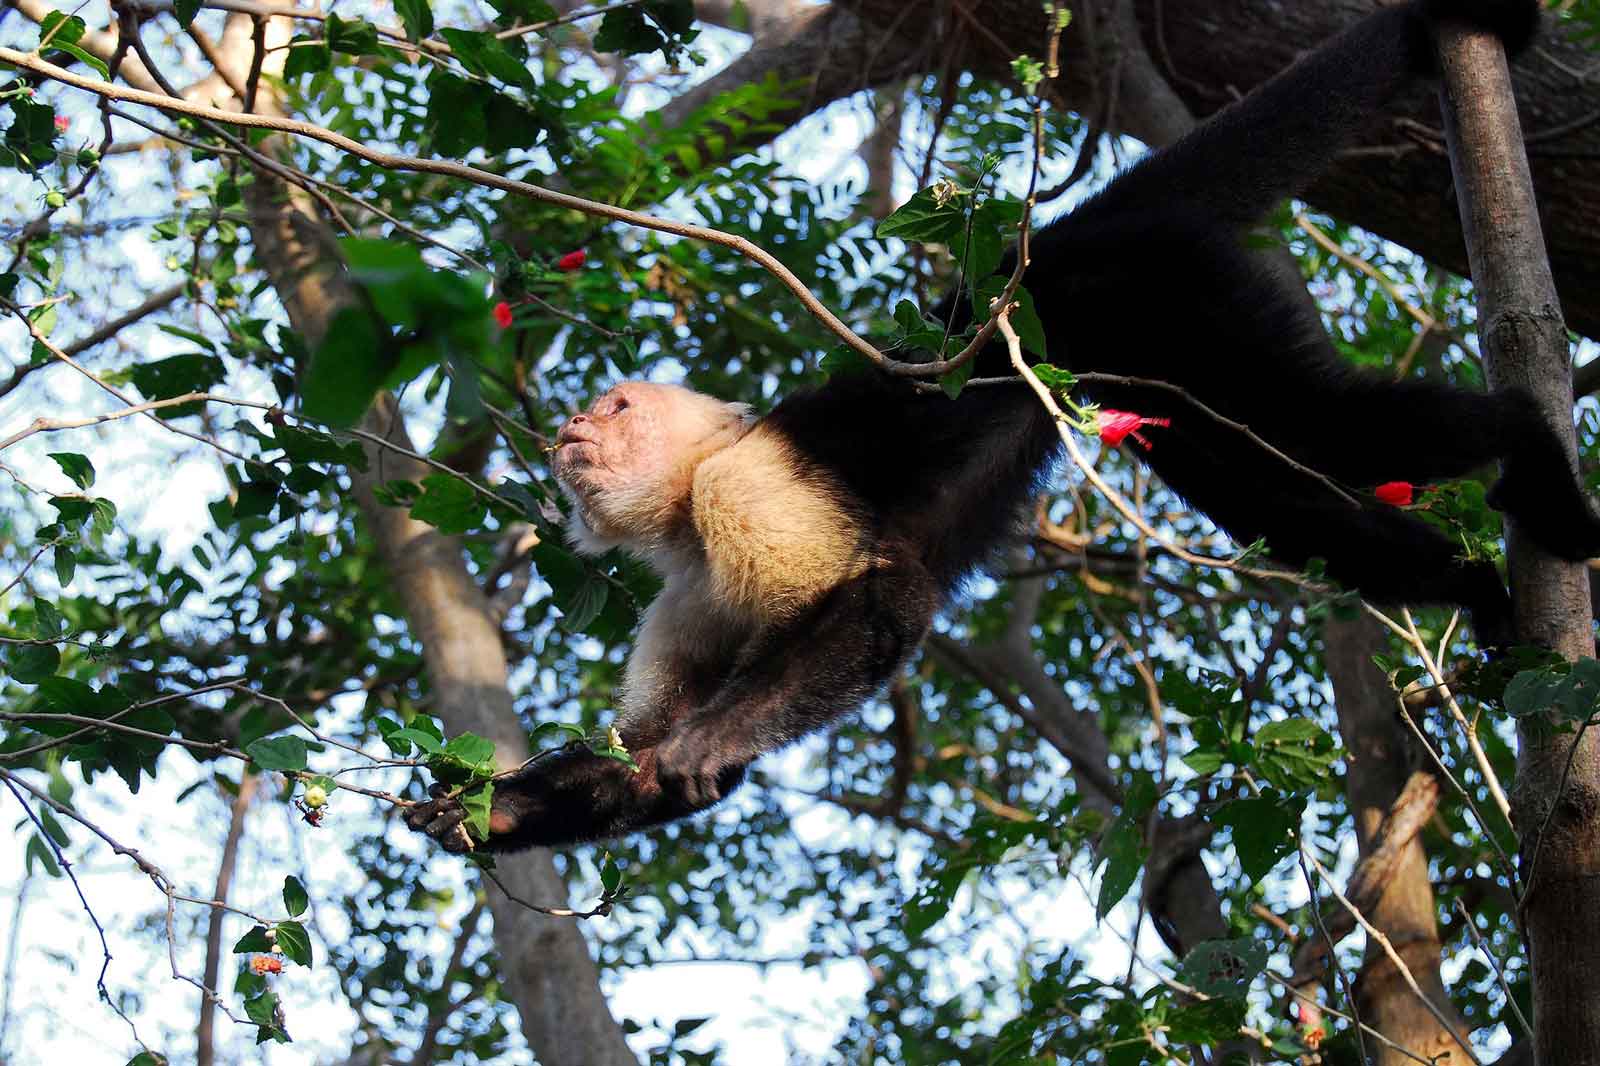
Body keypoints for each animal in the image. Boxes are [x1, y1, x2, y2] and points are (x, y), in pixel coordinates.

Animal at [406, 0, 1593, 845]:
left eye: (615, 406)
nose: (571, 423)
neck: (687, 519)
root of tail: (1052, 245)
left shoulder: (744, 492)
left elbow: (884, 596)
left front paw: (718, 733)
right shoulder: (685, 593)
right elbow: (641, 767)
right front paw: (485, 812)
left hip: (1166, 289)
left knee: (1334, 427)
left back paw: (1537, 453)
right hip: (1156, 357)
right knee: (1276, 502)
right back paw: (1470, 585)